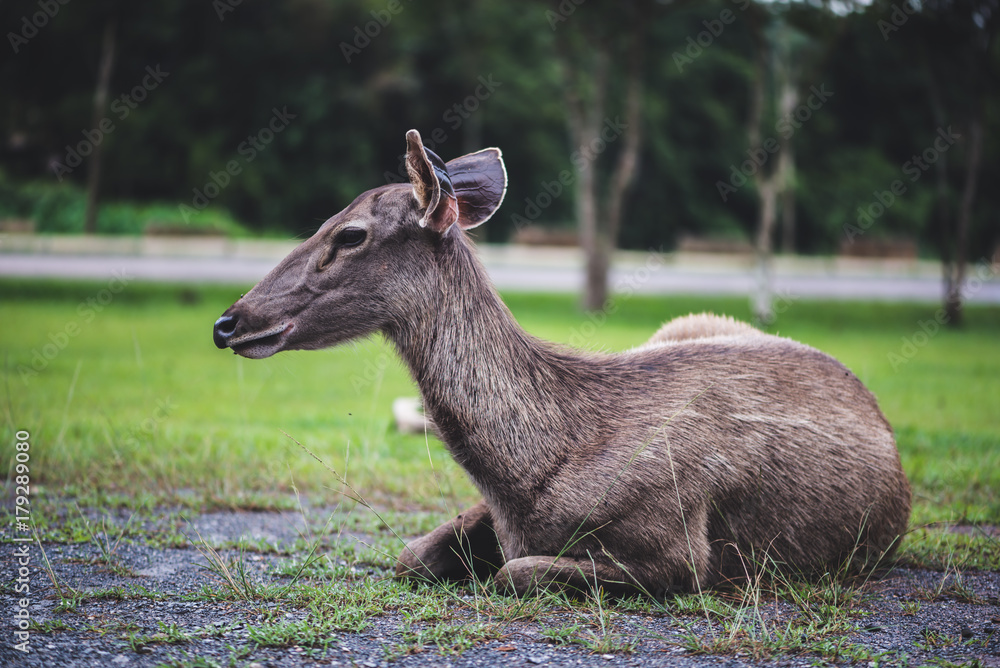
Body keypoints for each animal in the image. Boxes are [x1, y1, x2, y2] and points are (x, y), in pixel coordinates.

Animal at [213, 129, 911, 597]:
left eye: (350, 233)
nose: (229, 322)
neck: (533, 472)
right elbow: (412, 555)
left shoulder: (679, 548)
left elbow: (516, 573)